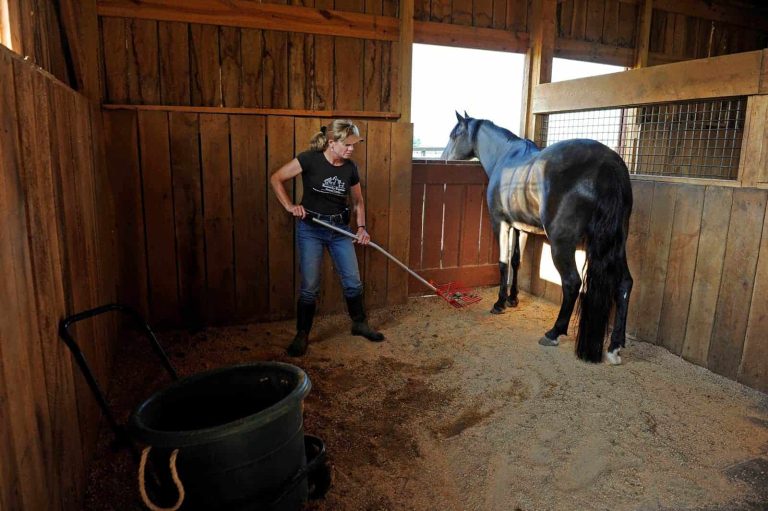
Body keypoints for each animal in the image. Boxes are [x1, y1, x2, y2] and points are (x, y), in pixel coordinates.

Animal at [441, 112, 633, 364]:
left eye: (454, 135)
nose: (443, 158)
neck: (505, 156)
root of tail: (607, 163)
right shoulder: (520, 227)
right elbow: (516, 261)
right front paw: (513, 299)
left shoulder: (501, 223)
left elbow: (503, 263)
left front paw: (500, 303)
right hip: (617, 243)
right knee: (624, 284)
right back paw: (615, 346)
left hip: (562, 244)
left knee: (572, 283)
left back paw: (553, 333)